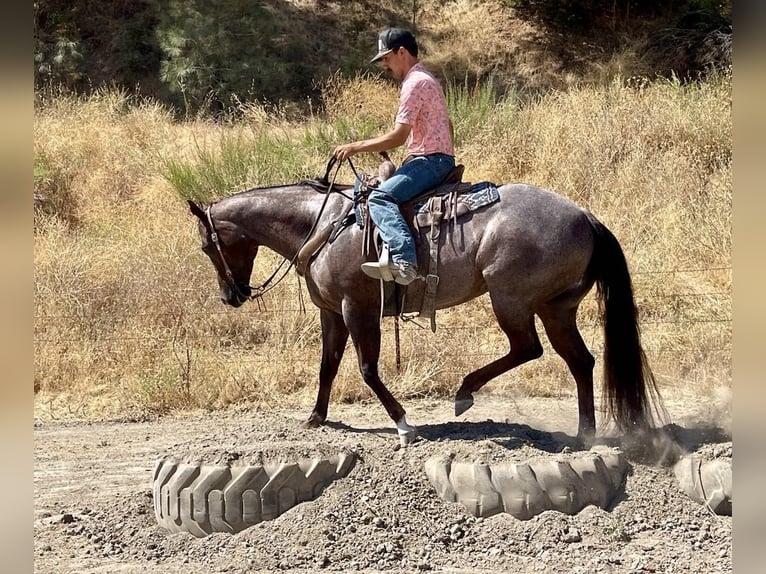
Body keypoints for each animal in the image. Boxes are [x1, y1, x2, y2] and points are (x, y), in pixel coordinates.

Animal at [187, 167, 662, 446]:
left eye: (208, 246)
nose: (231, 296)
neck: (321, 225)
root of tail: (586, 217)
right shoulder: (331, 313)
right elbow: (327, 366)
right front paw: (316, 417)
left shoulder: (358, 310)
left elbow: (367, 369)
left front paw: (403, 424)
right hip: (555, 308)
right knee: (579, 360)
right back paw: (585, 433)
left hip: (511, 300)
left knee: (529, 348)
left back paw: (466, 391)